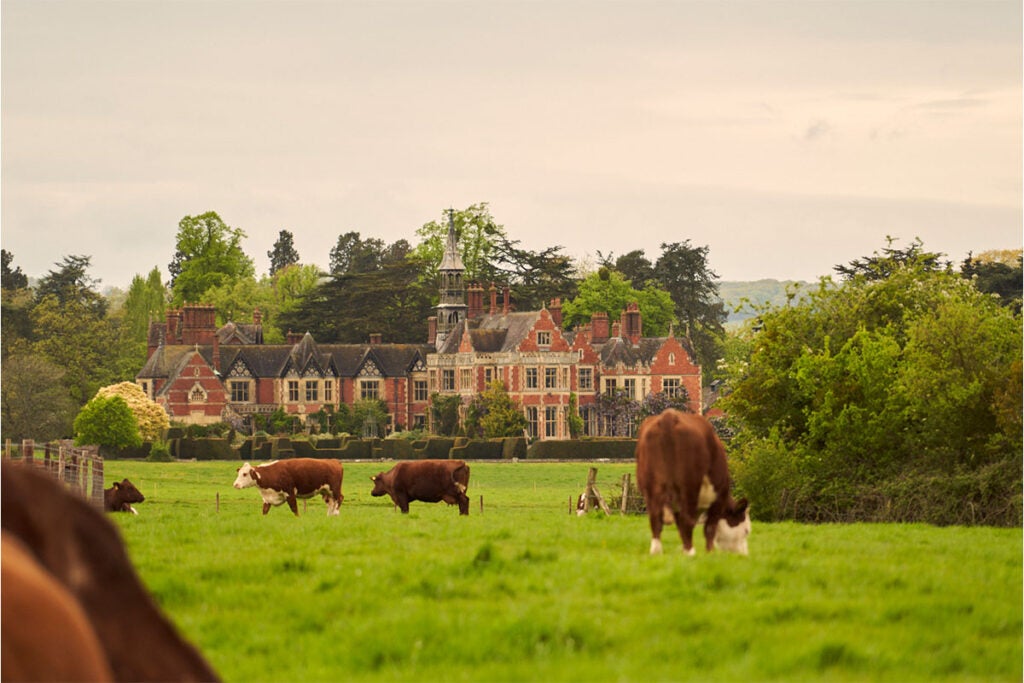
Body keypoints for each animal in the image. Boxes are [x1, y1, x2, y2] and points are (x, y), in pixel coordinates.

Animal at [630, 405, 753, 557]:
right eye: (746, 531)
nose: (744, 554)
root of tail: (669, 416)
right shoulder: (718, 498)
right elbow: (709, 528)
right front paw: (709, 553)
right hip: (689, 485)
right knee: (686, 519)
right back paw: (690, 553)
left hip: (651, 486)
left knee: (655, 518)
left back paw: (656, 552)